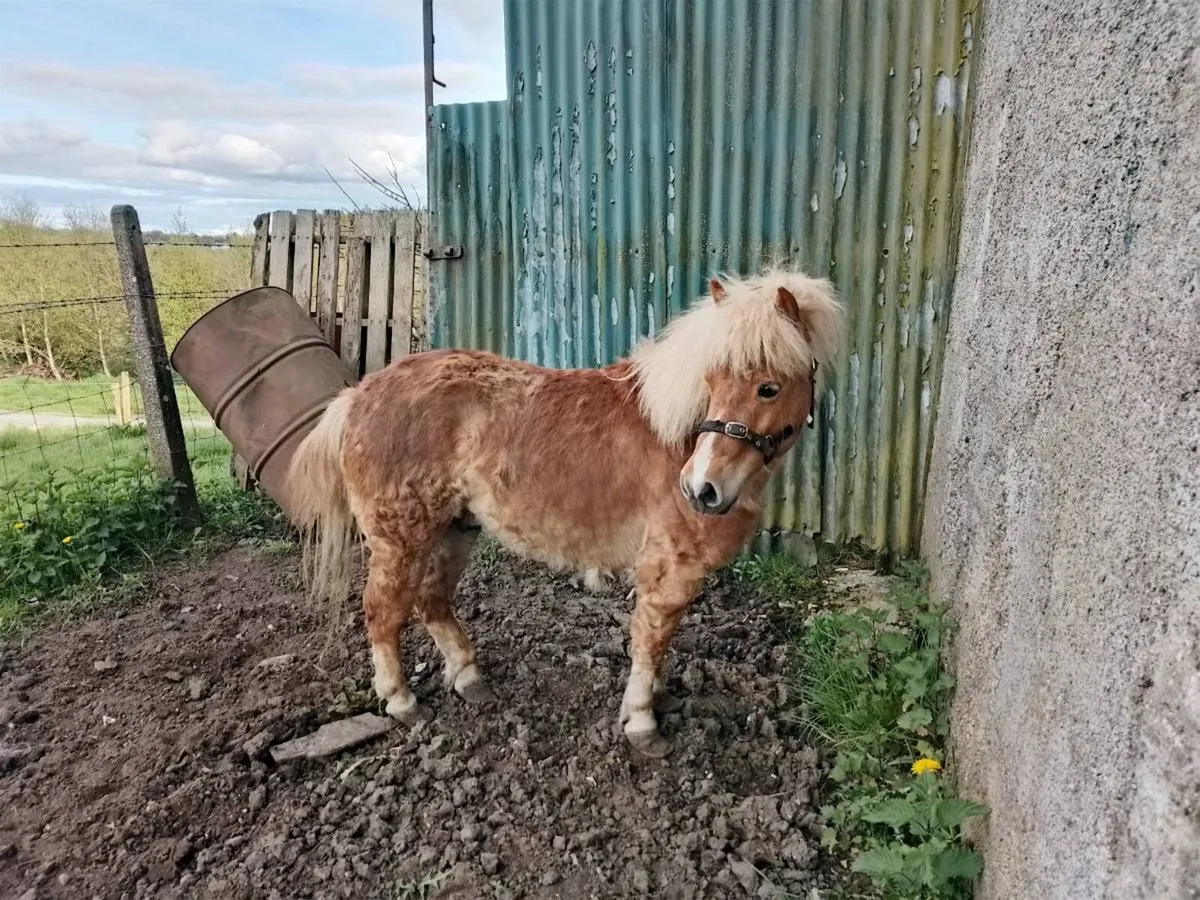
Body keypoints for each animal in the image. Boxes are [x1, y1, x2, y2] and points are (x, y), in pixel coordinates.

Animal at [287, 267, 843, 757]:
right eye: (711, 379)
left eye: (768, 387)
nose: (700, 489)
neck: (675, 438)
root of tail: (358, 395)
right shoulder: (669, 567)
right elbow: (652, 637)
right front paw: (642, 720)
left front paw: (658, 697)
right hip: (401, 538)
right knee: (383, 612)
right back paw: (402, 702)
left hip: (453, 529)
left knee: (430, 600)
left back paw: (470, 678)